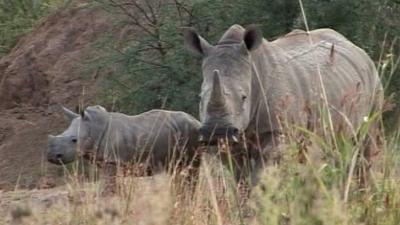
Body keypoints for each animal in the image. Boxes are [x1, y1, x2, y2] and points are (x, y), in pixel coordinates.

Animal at [48, 105, 202, 193]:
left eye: (74, 140)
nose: (52, 157)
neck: (94, 127)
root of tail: (196, 120)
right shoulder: (105, 161)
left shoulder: (113, 160)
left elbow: (108, 187)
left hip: (192, 132)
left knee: (192, 169)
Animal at [183, 24, 382, 183]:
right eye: (200, 97)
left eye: (244, 97)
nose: (217, 133)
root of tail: (359, 50)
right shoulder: (233, 140)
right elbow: (240, 179)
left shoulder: (278, 130)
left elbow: (261, 177)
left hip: (374, 82)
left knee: (365, 144)